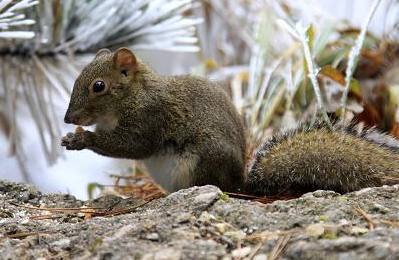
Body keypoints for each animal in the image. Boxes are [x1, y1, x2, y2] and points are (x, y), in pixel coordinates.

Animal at [61, 47, 399, 196]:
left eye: (98, 86)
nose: (67, 118)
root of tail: (241, 183)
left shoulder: (149, 117)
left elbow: (131, 146)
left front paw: (82, 139)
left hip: (200, 162)